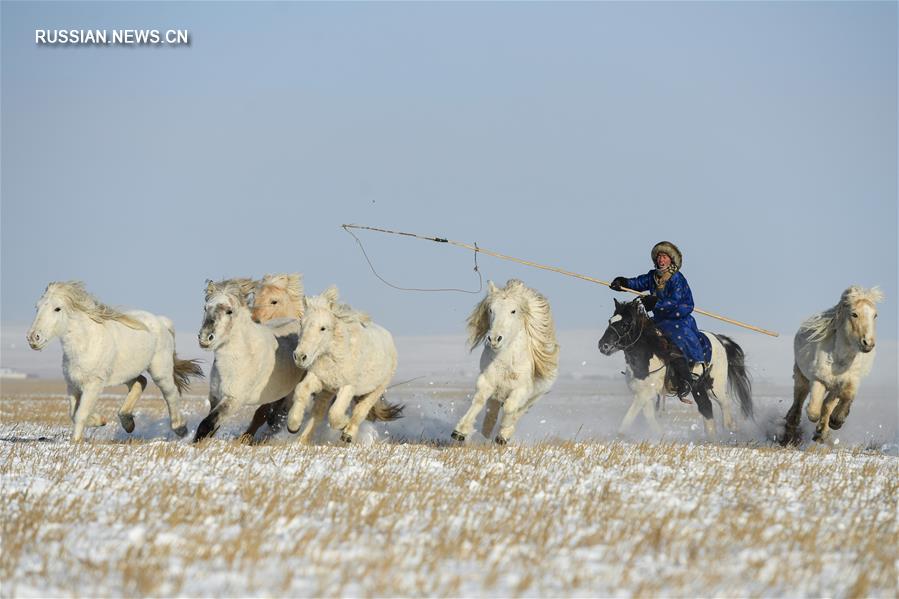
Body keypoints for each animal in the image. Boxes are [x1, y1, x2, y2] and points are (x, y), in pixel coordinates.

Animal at [26, 280, 202, 440]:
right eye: (37, 307)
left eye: (57, 308)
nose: (33, 338)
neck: (85, 344)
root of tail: (162, 321)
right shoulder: (73, 386)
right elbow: (73, 413)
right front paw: (100, 420)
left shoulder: (93, 385)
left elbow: (80, 414)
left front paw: (76, 442)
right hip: (128, 372)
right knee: (140, 382)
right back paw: (128, 422)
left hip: (160, 371)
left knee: (171, 393)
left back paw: (180, 429)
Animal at [195, 280, 308, 440]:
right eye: (206, 307)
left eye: (229, 311)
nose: (205, 338)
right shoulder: (215, 397)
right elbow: (212, 427)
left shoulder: (234, 399)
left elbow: (206, 425)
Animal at [286, 286, 400, 446]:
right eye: (302, 324)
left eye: (323, 328)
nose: (300, 357)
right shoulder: (319, 378)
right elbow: (302, 390)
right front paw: (293, 425)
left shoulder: (348, 386)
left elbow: (335, 413)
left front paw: (343, 425)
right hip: (328, 391)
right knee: (318, 413)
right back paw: (302, 439)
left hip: (376, 389)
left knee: (360, 411)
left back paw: (348, 434)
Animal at [450, 282, 564, 446]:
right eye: (491, 309)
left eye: (513, 311)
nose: (494, 339)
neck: (507, 364)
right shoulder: (487, 381)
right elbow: (479, 400)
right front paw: (460, 431)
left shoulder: (521, 390)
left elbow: (510, 407)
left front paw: (502, 433)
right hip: (497, 395)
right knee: (492, 413)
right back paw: (485, 434)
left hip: (534, 397)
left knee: (519, 412)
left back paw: (504, 433)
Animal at [784, 286, 884, 446]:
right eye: (854, 314)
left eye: (875, 315)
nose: (868, 343)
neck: (840, 360)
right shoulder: (818, 379)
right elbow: (813, 411)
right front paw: (826, 424)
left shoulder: (849, 381)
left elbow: (844, 397)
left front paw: (835, 421)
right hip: (801, 376)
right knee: (799, 399)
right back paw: (791, 427)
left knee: (827, 404)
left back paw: (821, 432)